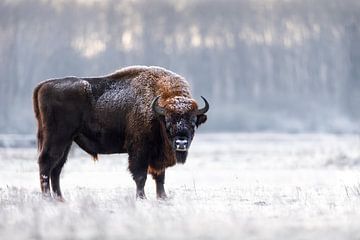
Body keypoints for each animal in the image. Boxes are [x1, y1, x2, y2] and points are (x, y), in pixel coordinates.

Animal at [33, 64, 210, 200]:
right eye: (168, 122)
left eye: (193, 122)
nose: (181, 143)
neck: (156, 110)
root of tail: (44, 85)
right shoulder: (140, 151)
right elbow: (140, 176)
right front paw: (142, 198)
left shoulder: (157, 155)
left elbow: (160, 177)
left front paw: (163, 198)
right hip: (57, 138)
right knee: (46, 163)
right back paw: (48, 198)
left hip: (67, 141)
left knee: (57, 168)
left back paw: (60, 199)